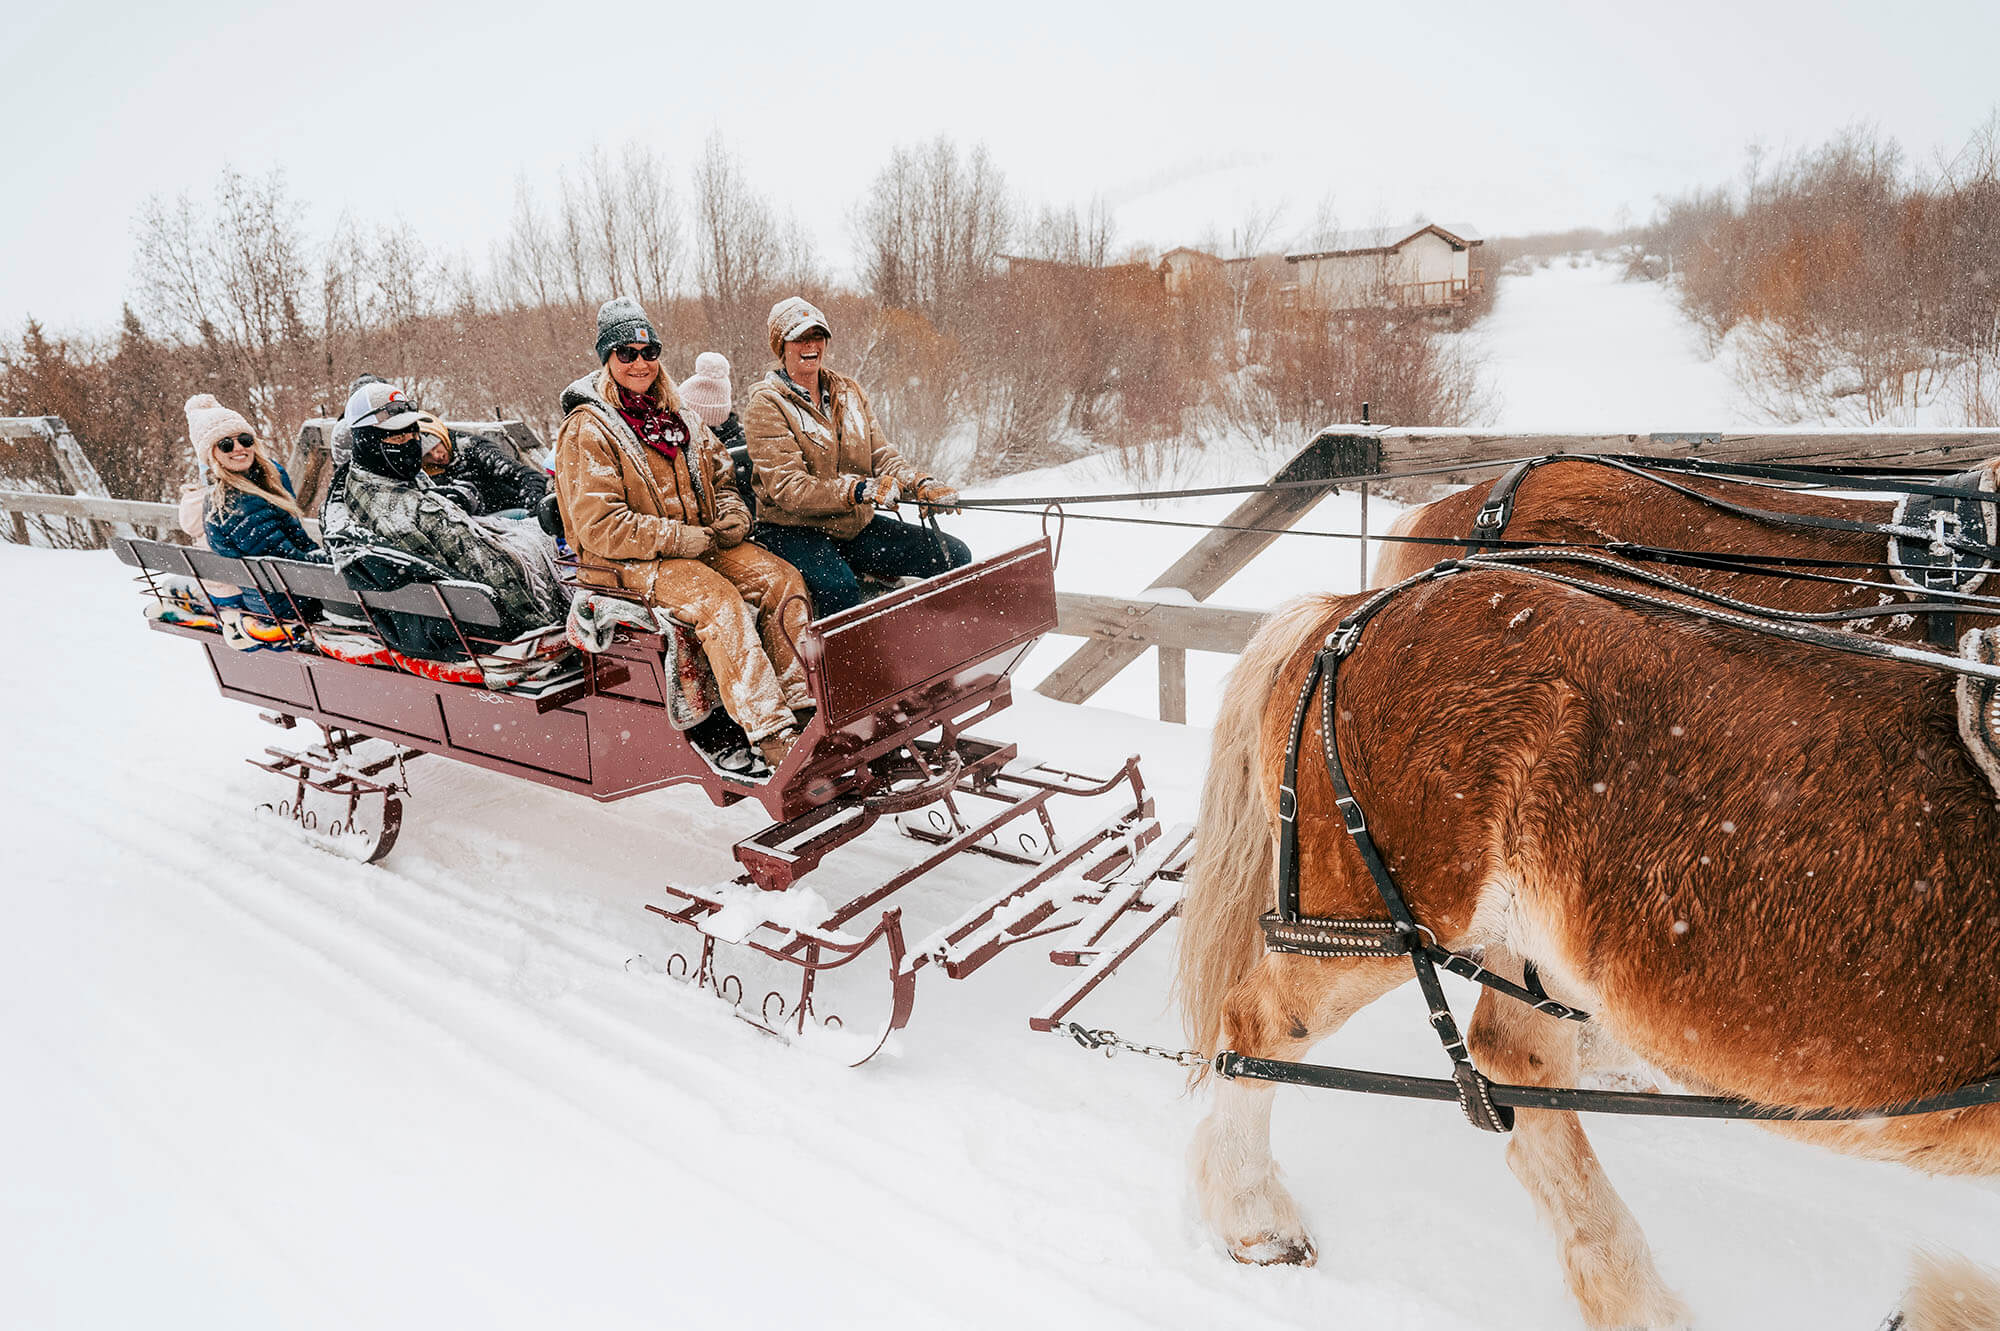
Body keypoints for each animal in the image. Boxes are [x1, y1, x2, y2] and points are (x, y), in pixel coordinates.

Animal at [1175, 559, 2000, 1328]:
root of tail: (1355, 612)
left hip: (1539, 951)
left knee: (1517, 1062)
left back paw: (1629, 1295)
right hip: (1377, 923)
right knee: (1259, 1025)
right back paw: (1257, 1219)